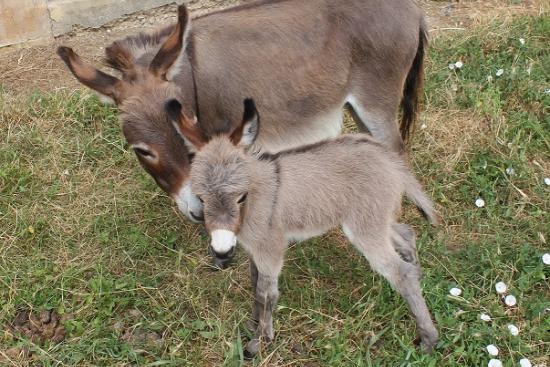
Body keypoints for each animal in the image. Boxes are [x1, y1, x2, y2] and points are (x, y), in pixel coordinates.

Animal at [166, 99, 442, 358]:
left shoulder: (270, 249)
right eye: (202, 199)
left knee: (400, 272)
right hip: (373, 219)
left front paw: (259, 342)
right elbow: (255, 285)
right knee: (406, 235)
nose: (221, 252)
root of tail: (389, 158)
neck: (257, 195)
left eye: (241, 197)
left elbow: (267, 294)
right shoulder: (254, 250)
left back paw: (428, 338)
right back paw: (420, 279)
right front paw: (254, 324)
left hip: (364, 227)